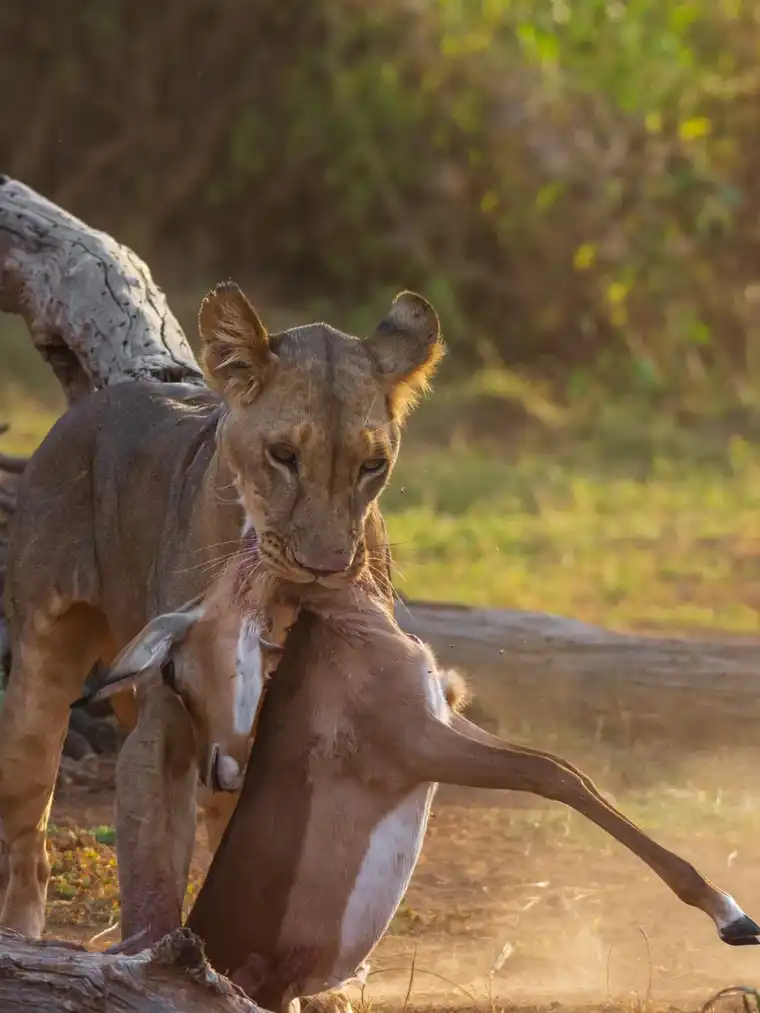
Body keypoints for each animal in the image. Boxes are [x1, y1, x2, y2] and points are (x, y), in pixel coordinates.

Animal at [0, 281, 444, 940]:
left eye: (373, 466)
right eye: (283, 455)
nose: (326, 567)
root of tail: (81, 412)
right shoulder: (166, 722)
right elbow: (154, 868)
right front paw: (158, 957)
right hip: (37, 680)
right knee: (30, 832)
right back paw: (22, 931)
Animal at [87, 569, 760, 1012]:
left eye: (172, 669)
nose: (218, 769)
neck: (343, 633)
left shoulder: (445, 721)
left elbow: (567, 768)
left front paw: (735, 915)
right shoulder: (424, 747)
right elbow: (556, 777)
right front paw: (732, 917)